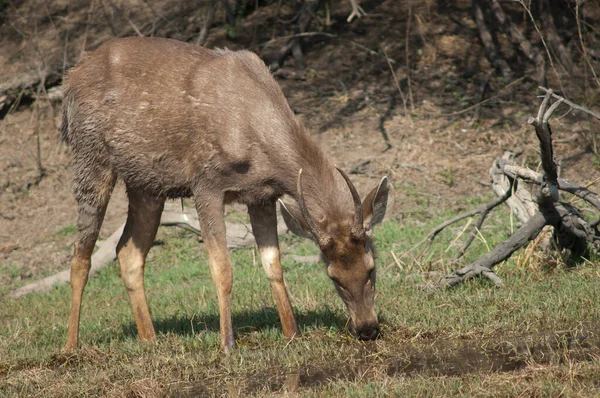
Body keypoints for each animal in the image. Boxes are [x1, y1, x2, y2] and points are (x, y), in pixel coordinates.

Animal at [61, 35, 390, 350]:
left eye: (372, 267)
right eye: (333, 277)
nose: (367, 329)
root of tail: (69, 80)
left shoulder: (262, 196)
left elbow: (273, 265)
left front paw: (292, 333)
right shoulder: (205, 184)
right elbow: (222, 270)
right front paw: (227, 343)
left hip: (146, 185)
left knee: (127, 252)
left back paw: (149, 339)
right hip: (89, 157)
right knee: (80, 256)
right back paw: (71, 347)